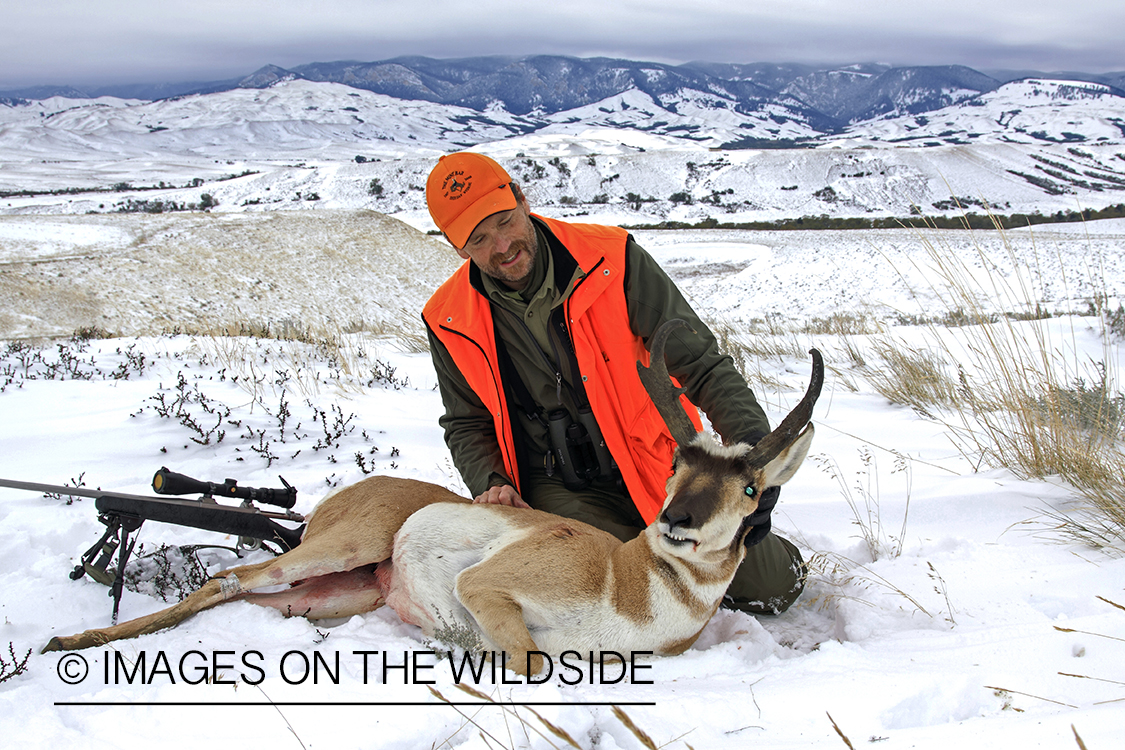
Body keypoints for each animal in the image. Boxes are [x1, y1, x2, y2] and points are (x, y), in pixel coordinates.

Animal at [43, 319, 823, 674]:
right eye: (675, 462)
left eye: (751, 487)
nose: (676, 521)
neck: (628, 581)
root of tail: (353, 494)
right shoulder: (490, 591)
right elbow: (530, 663)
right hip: (334, 553)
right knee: (228, 576)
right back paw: (66, 640)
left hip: (332, 595)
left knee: (236, 592)